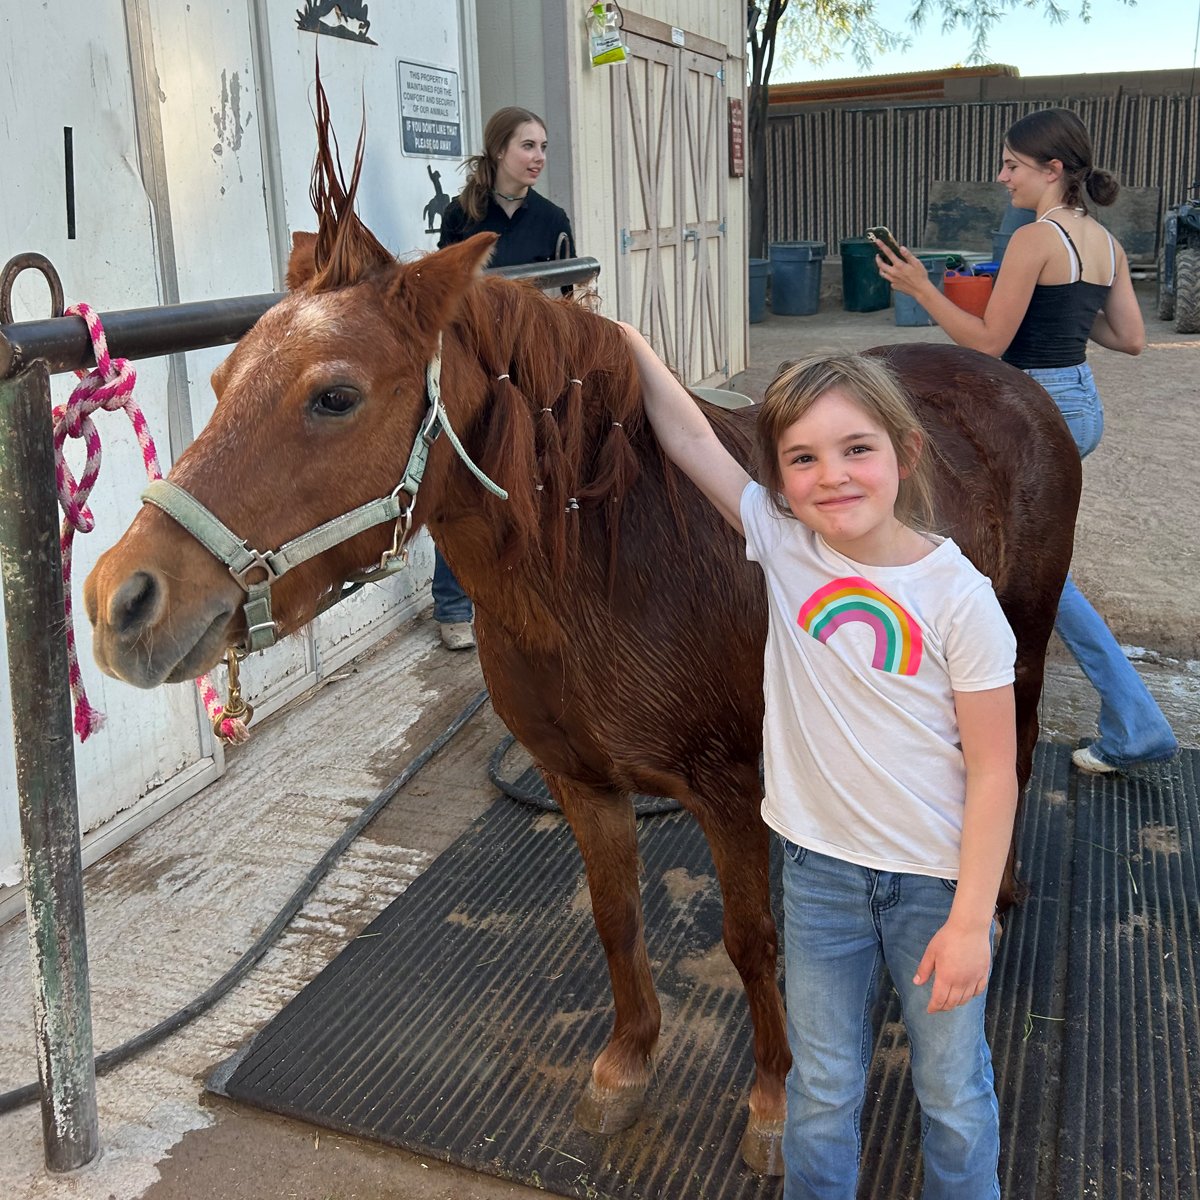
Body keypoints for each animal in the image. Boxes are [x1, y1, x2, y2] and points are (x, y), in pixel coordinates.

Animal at [83, 99, 1081, 1175]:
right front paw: (626, 1066)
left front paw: (773, 1102)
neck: (607, 564)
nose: (121, 601)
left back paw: (1000, 893)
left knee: (1015, 754)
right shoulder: (580, 780)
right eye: (221, 376)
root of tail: (1009, 385)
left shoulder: (732, 791)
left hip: (1021, 647)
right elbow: (616, 919)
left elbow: (751, 942)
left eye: (334, 395)